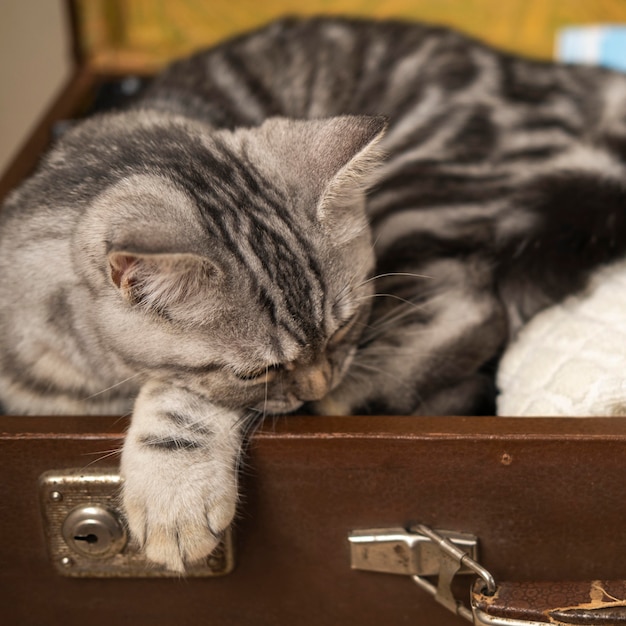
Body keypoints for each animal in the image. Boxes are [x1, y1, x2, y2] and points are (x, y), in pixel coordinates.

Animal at [1, 14, 624, 572]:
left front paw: (173, 487)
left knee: (473, 308)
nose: (321, 382)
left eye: (344, 326)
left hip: (420, 190)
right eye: (256, 370)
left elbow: (181, 394)